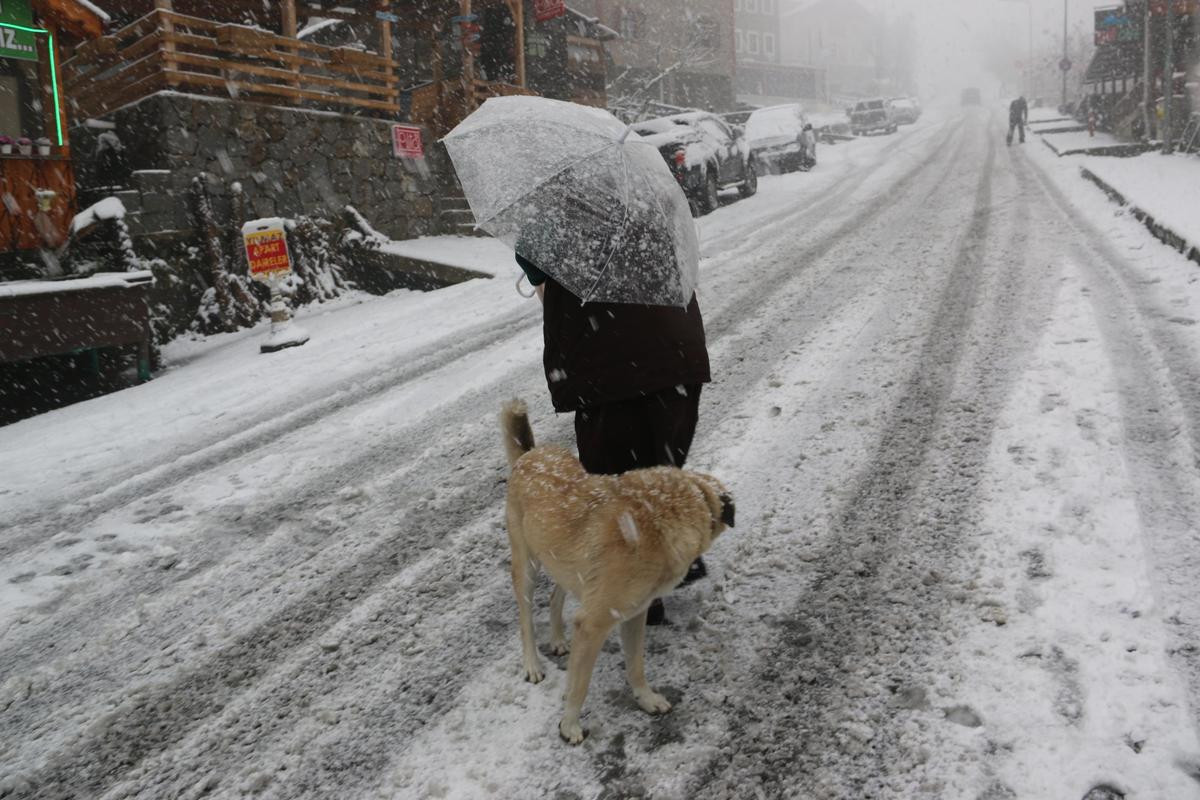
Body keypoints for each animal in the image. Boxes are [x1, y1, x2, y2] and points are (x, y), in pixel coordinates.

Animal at [500, 399, 735, 744]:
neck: (656, 518)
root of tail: (529, 455)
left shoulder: (634, 613)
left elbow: (636, 664)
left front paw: (646, 699)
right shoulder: (592, 624)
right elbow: (579, 685)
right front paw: (569, 725)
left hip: (567, 563)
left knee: (556, 596)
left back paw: (557, 639)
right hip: (526, 563)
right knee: (526, 619)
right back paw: (532, 664)